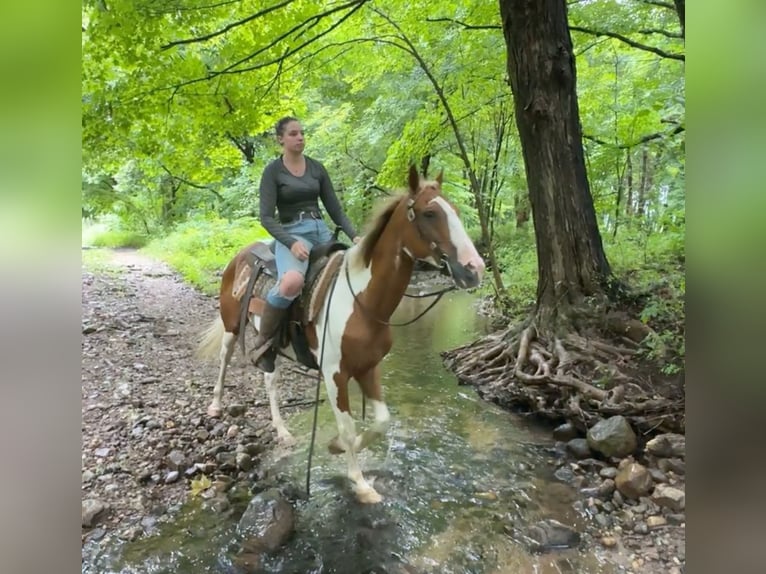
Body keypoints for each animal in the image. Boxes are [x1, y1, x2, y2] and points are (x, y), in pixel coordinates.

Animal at [198, 165, 486, 504]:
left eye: (455, 210)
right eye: (430, 213)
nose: (475, 268)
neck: (362, 302)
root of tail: (239, 255)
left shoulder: (369, 368)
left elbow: (381, 421)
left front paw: (337, 447)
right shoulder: (335, 374)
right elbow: (348, 427)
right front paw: (360, 483)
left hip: (271, 345)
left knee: (270, 381)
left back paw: (282, 431)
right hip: (232, 326)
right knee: (224, 358)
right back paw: (216, 405)